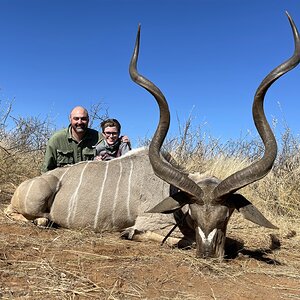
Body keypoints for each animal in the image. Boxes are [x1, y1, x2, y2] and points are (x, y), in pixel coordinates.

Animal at [4, 13, 300, 258]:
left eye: (226, 215)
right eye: (194, 214)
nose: (208, 252)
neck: (175, 198)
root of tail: (27, 184)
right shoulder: (151, 221)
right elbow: (170, 238)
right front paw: (130, 233)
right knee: (15, 212)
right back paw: (43, 221)